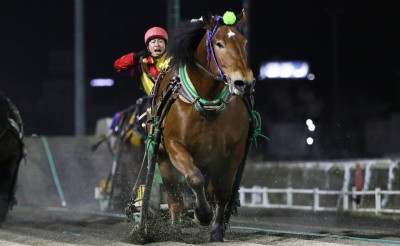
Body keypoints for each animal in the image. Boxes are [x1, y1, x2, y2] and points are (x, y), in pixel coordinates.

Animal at [148, 10, 256, 242]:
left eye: (244, 42)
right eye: (219, 43)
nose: (244, 82)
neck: (207, 100)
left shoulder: (233, 151)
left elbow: (222, 191)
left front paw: (216, 229)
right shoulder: (174, 145)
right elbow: (194, 178)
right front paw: (202, 214)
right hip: (162, 156)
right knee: (173, 193)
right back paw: (175, 226)